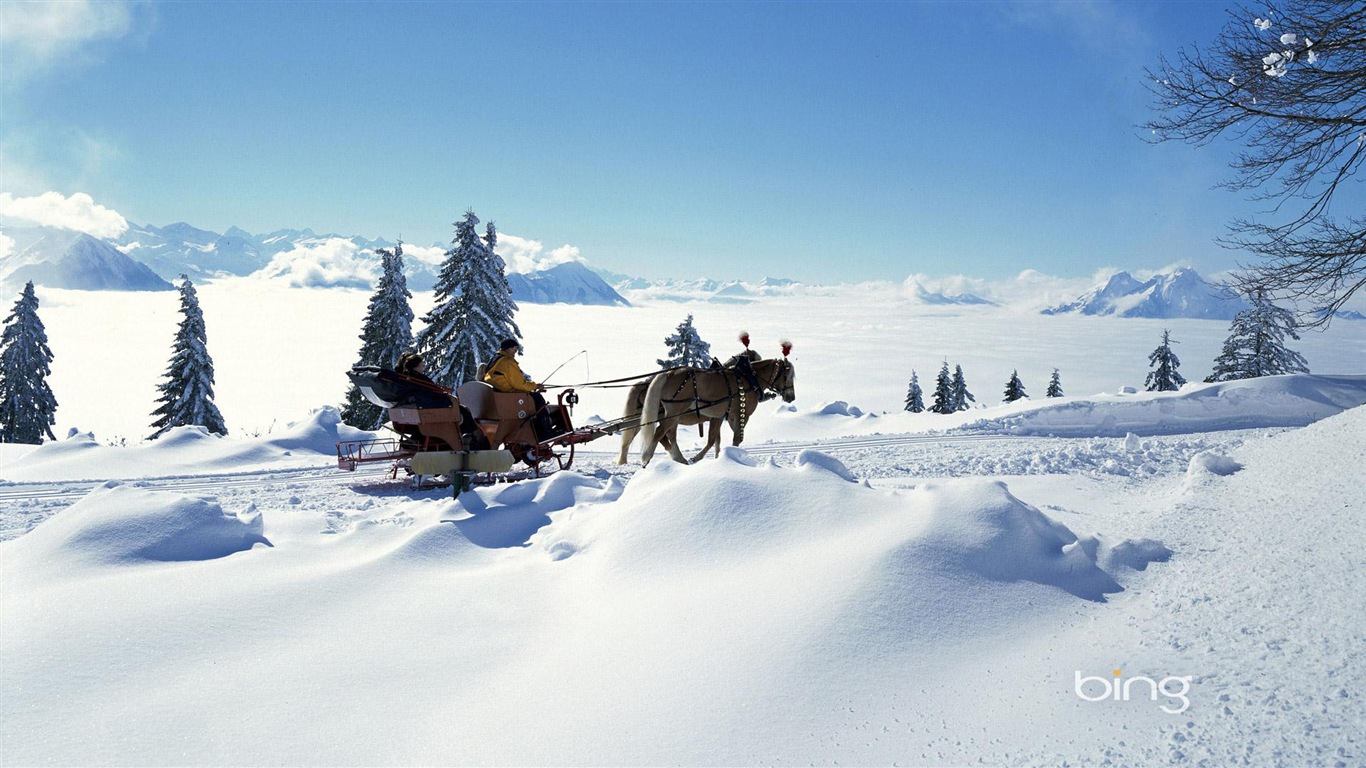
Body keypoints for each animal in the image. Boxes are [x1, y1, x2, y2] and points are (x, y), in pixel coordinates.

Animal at [642, 355, 797, 467]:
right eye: (787, 376)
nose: (792, 397)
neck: (749, 379)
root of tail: (669, 373)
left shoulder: (722, 416)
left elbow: (716, 440)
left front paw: (720, 458)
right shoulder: (741, 415)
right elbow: (735, 439)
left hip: (674, 415)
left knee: (670, 434)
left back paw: (678, 459)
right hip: (675, 412)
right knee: (660, 432)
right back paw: (646, 458)